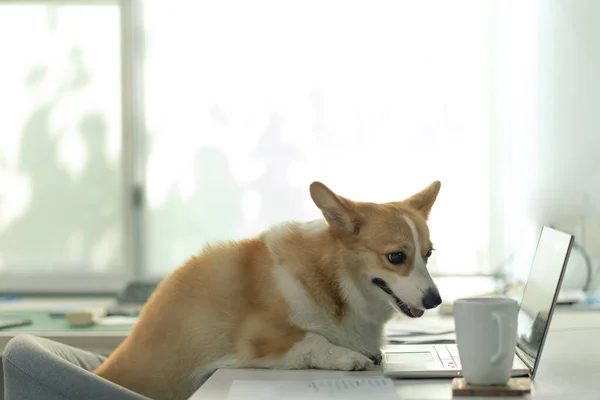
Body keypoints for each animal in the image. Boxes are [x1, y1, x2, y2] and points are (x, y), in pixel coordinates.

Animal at [94, 181, 440, 400]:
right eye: (396, 257)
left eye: (429, 253)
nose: (435, 300)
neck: (334, 280)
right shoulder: (259, 340)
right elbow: (314, 340)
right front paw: (350, 357)